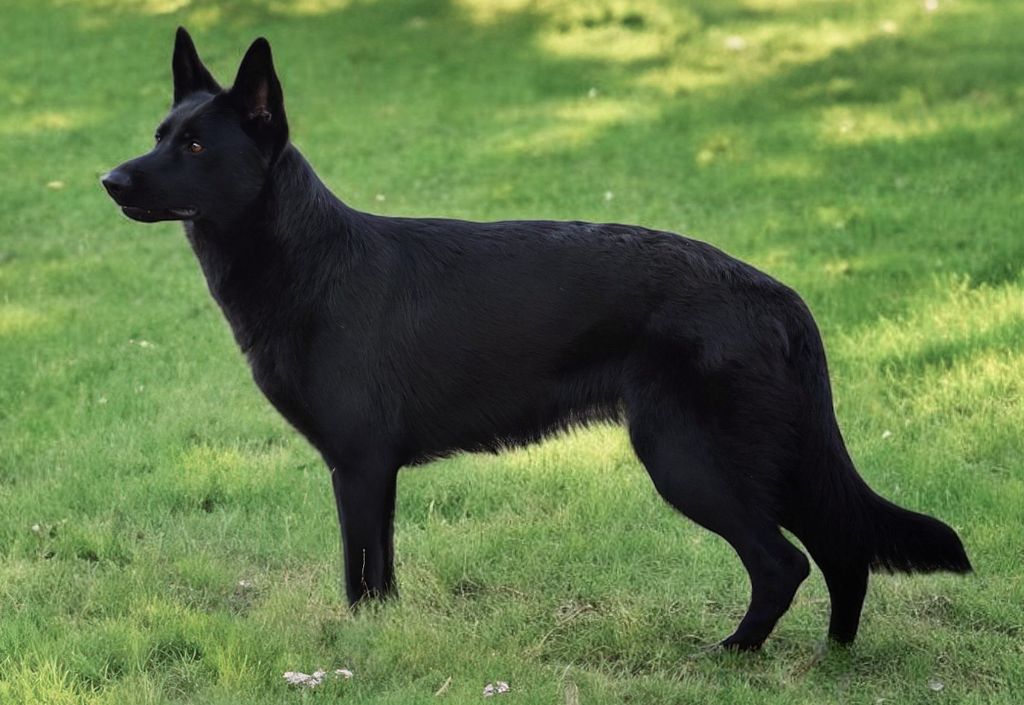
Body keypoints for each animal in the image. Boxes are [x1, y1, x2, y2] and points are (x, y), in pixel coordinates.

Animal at [101, 28, 970, 650]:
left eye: (197, 146)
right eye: (160, 133)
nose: (108, 181)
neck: (307, 261)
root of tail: (781, 296)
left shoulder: (358, 466)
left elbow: (360, 579)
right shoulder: (375, 474)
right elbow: (382, 577)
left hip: (690, 460)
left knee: (785, 561)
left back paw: (734, 650)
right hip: (775, 458)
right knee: (843, 548)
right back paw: (835, 654)